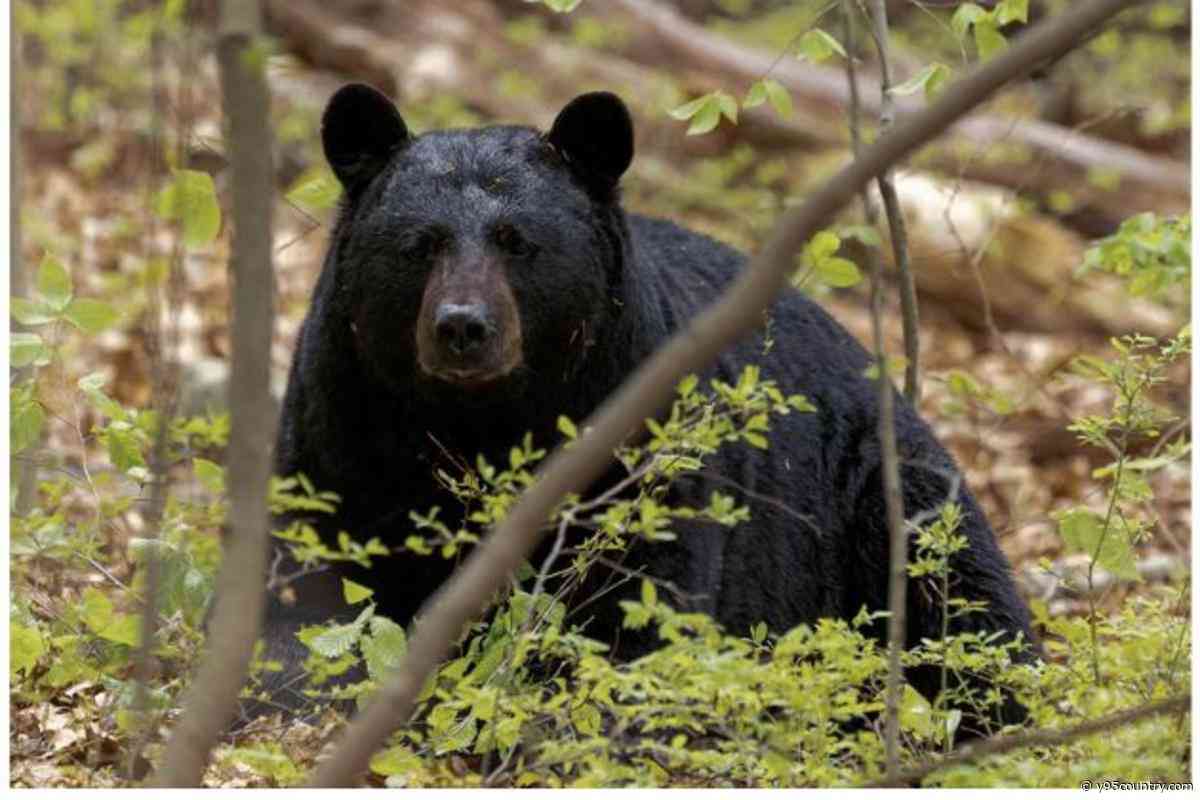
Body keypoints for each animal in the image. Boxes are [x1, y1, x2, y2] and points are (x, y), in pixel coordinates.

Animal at [257, 83, 1037, 729]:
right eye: (419, 244)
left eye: (518, 242)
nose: (462, 327)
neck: (480, 421)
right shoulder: (342, 424)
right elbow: (313, 586)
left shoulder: (635, 435)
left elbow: (639, 598)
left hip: (875, 489)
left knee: (965, 601)